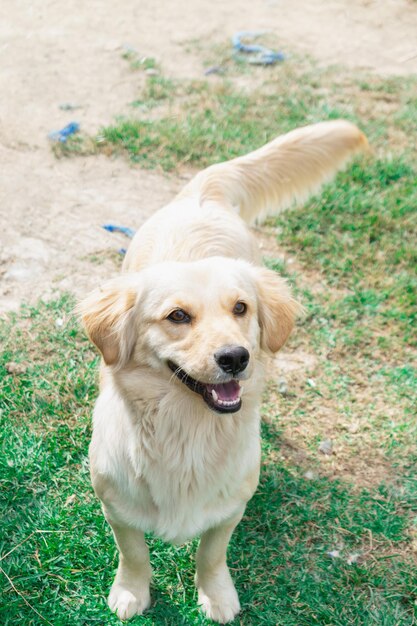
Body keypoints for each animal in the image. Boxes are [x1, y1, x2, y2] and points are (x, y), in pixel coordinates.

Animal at [79, 120, 366, 620]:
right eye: (177, 316)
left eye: (240, 308)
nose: (236, 357)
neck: (185, 433)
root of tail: (202, 191)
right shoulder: (115, 503)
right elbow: (133, 553)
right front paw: (132, 591)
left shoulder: (231, 506)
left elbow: (210, 554)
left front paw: (216, 594)